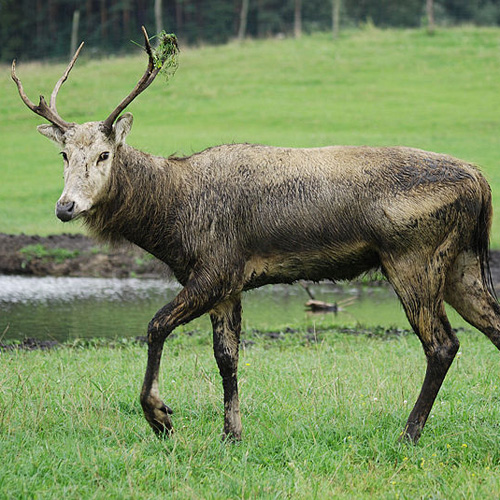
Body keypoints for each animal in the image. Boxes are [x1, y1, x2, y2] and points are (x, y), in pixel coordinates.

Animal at [11, 28, 500, 442]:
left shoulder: (216, 268)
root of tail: (481, 180)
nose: (65, 207)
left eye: (104, 154)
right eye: (63, 154)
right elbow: (227, 357)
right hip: (460, 263)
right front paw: (232, 433)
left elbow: (155, 325)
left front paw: (161, 416)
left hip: (412, 257)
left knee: (442, 344)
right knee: (491, 325)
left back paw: (408, 433)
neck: (172, 222)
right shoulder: (230, 285)